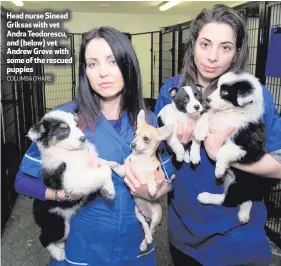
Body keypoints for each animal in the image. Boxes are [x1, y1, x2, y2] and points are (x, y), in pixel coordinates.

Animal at [26, 109, 114, 260]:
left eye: (76, 124)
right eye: (63, 130)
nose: (83, 138)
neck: (70, 152)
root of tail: (35, 214)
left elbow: (104, 164)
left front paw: (115, 175)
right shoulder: (73, 180)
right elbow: (104, 170)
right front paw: (109, 190)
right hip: (58, 224)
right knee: (44, 238)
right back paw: (58, 253)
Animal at [110, 109, 173, 251]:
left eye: (146, 139)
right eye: (135, 134)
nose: (132, 144)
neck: (140, 158)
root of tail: (148, 216)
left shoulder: (159, 175)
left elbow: (150, 175)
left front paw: (151, 188)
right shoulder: (124, 171)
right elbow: (114, 164)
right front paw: (102, 162)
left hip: (156, 215)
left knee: (152, 229)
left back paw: (147, 240)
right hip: (138, 213)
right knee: (145, 226)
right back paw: (145, 241)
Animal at [191, 71, 268, 223]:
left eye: (225, 92)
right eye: (217, 86)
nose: (207, 99)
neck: (230, 112)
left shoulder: (251, 147)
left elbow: (223, 151)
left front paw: (219, 170)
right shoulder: (213, 118)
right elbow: (205, 116)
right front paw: (198, 135)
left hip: (242, 184)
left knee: (229, 200)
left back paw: (207, 196)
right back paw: (243, 213)